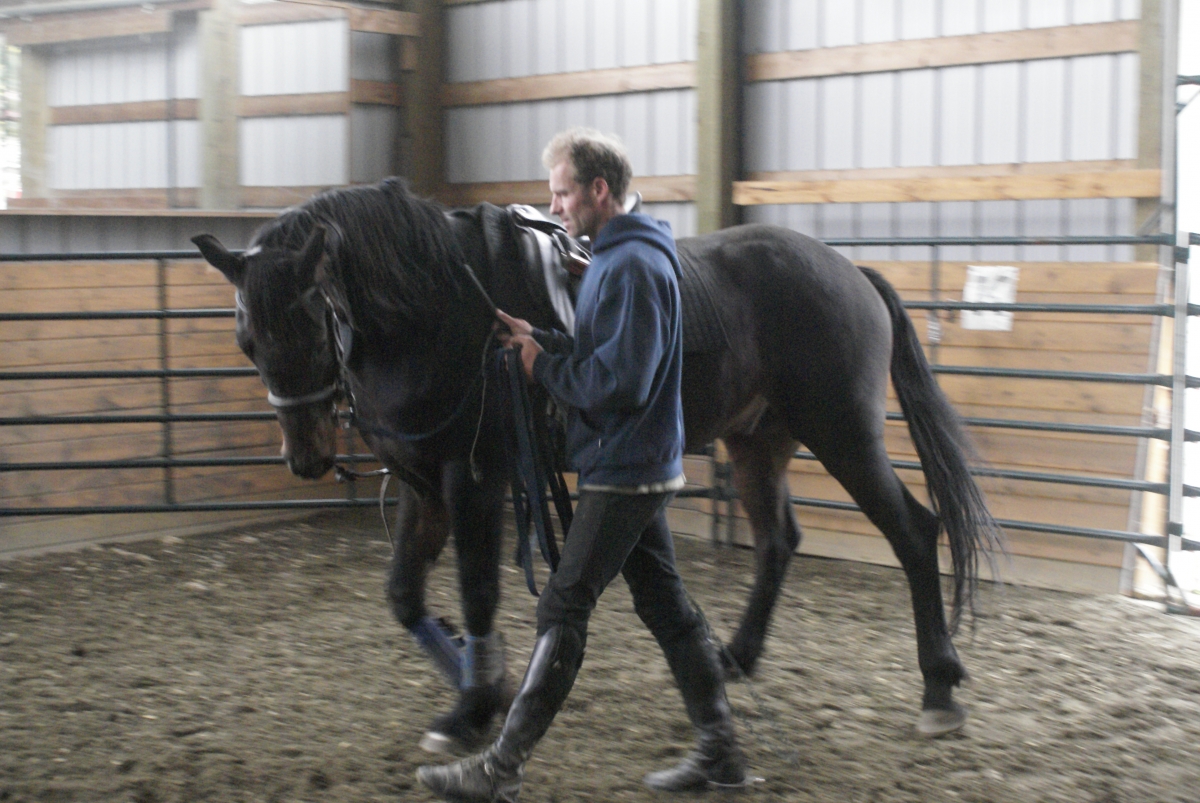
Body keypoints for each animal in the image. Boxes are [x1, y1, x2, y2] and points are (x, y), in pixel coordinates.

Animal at [192, 176, 1002, 750]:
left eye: (308, 319)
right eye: (245, 338)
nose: (305, 457)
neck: (440, 310)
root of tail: (852, 272)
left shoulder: (475, 482)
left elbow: (479, 591)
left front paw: (473, 706)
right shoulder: (423, 487)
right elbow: (404, 596)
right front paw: (480, 685)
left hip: (843, 434)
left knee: (914, 531)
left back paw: (938, 688)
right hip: (758, 442)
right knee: (779, 541)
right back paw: (734, 658)